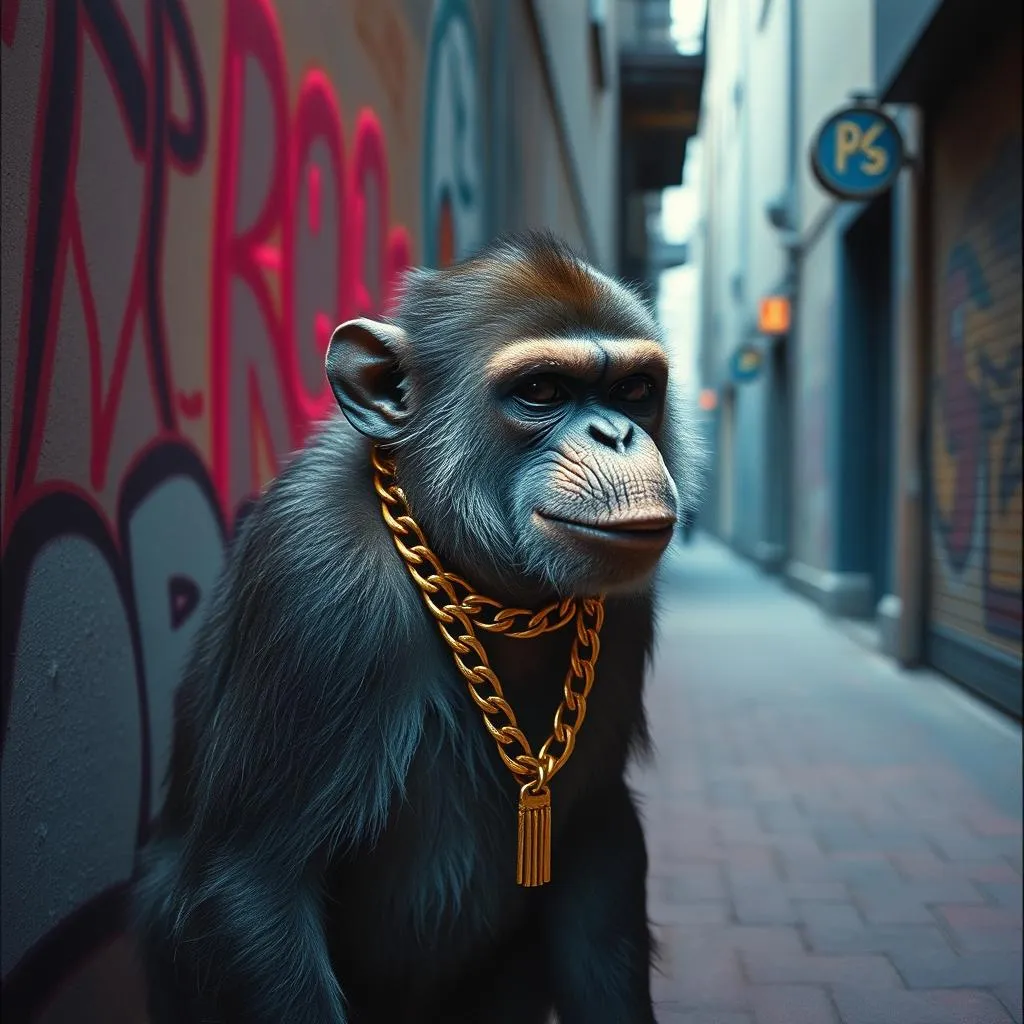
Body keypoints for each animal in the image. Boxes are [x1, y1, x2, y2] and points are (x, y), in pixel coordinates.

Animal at [132, 231, 701, 1024]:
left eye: (635, 391)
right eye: (543, 391)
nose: (615, 433)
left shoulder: (621, 615)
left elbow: (595, 831)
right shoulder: (316, 578)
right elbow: (254, 887)